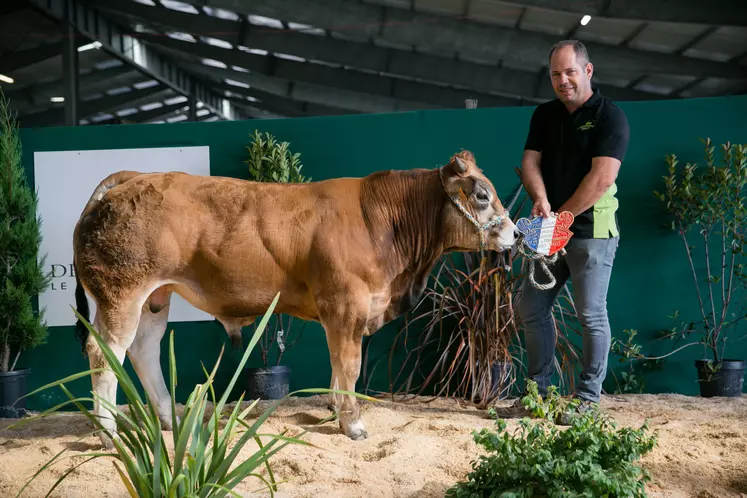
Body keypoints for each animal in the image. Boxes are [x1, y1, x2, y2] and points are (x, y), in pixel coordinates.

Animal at [71, 149, 520, 448]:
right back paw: (108, 434)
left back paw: (168, 419)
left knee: (143, 350)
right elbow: (350, 365)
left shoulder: (342, 312)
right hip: (122, 292)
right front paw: (353, 425)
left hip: (154, 296)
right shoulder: (346, 304)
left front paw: (336, 412)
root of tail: (131, 175)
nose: (516, 234)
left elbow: (338, 366)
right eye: (482, 195)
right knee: (104, 353)